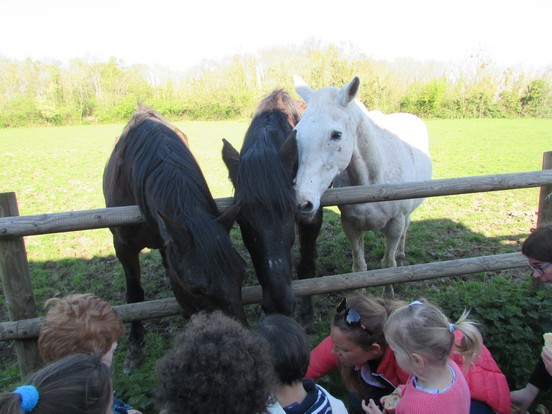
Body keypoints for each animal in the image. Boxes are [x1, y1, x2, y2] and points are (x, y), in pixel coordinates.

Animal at [292, 77, 434, 272]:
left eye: (336, 135)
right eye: (296, 132)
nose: (301, 202)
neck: (373, 182)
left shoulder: (395, 226)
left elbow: (388, 265)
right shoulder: (350, 226)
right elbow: (359, 268)